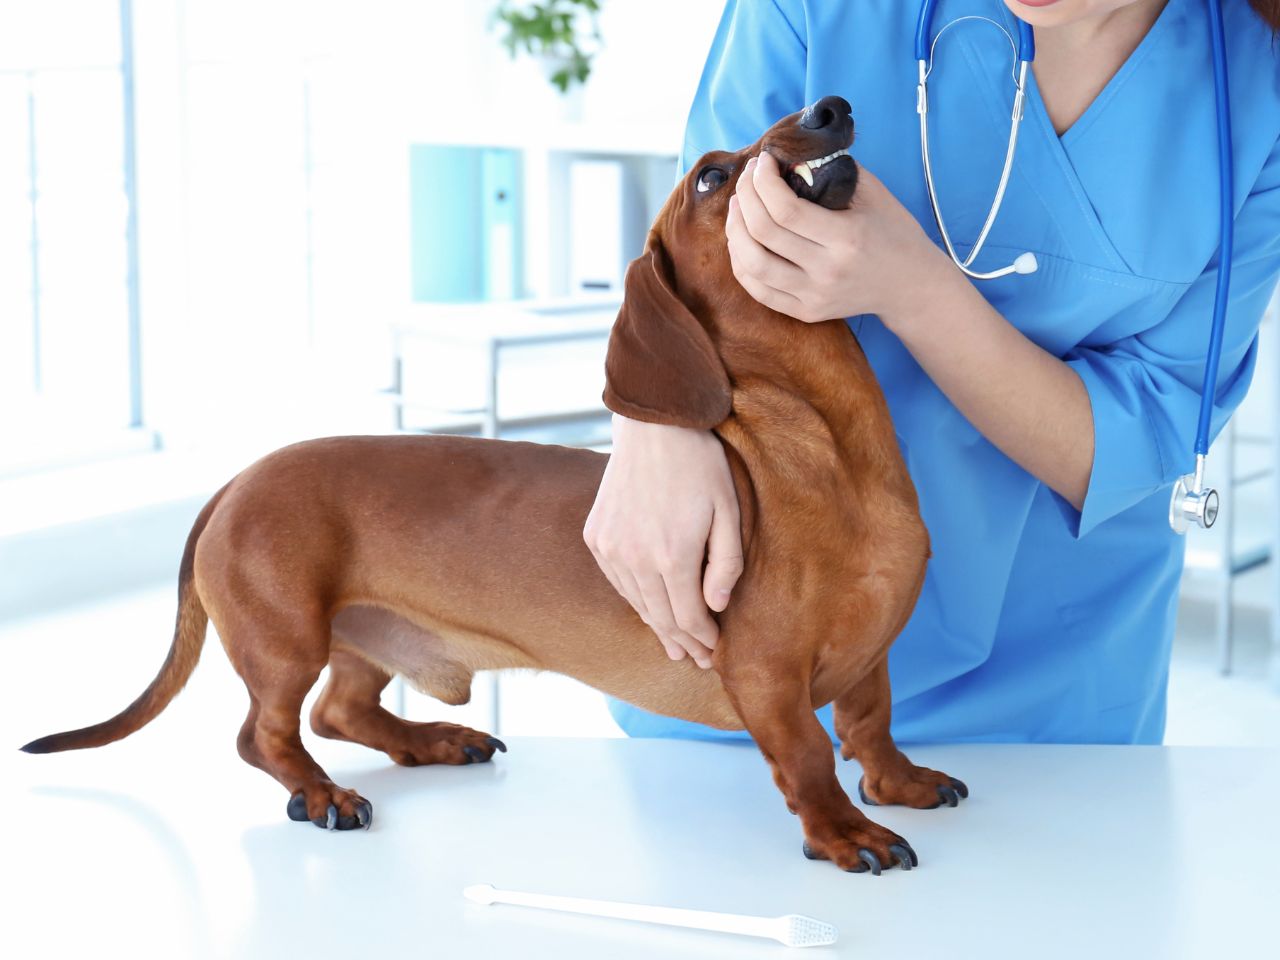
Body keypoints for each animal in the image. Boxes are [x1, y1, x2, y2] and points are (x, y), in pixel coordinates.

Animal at [22, 96, 962, 870]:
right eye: (710, 175)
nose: (831, 106)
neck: (826, 457)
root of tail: (232, 483)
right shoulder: (765, 674)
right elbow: (808, 754)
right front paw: (844, 831)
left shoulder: (872, 657)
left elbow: (870, 723)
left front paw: (898, 782)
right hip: (284, 638)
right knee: (267, 734)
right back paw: (323, 793)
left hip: (362, 638)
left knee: (340, 711)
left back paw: (432, 740)